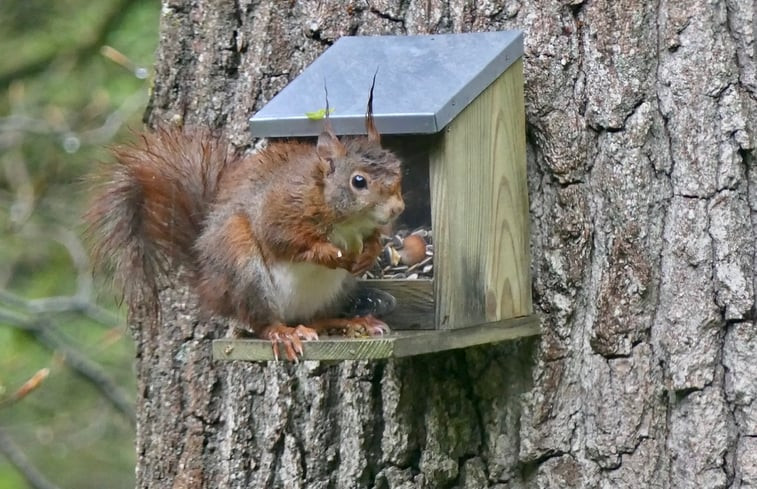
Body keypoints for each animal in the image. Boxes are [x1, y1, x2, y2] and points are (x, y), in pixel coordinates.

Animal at [85, 97, 404, 360]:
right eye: (359, 181)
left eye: (399, 169)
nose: (397, 209)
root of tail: (211, 287)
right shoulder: (278, 208)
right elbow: (283, 240)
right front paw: (328, 252)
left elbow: (374, 238)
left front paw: (370, 252)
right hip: (244, 266)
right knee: (262, 323)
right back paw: (285, 333)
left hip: (337, 289)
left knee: (317, 318)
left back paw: (352, 321)